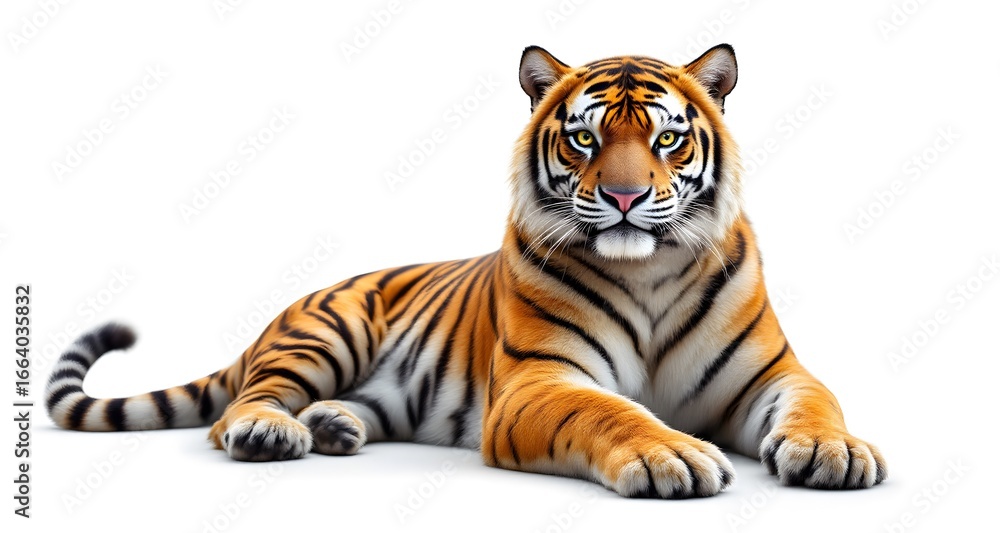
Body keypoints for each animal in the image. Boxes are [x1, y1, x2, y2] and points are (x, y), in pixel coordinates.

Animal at [45, 44, 887, 498]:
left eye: (667, 139)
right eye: (585, 139)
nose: (623, 196)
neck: (646, 273)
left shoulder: (770, 374)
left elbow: (818, 402)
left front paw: (836, 451)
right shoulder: (537, 384)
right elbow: (612, 411)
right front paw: (668, 452)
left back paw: (334, 425)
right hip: (327, 330)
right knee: (242, 405)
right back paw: (270, 430)